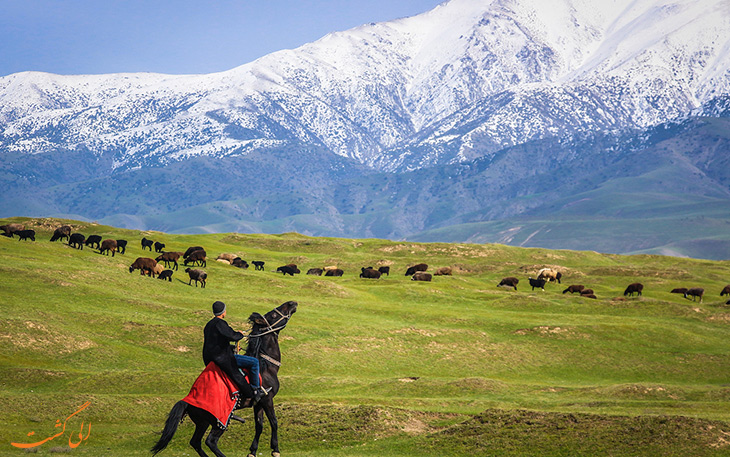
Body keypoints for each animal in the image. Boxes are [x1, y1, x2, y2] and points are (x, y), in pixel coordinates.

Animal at [151, 300, 296, 456]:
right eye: (274, 314)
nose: (292, 303)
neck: (266, 365)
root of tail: (187, 401)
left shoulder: (258, 403)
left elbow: (259, 425)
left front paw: (252, 451)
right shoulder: (267, 399)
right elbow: (274, 422)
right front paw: (275, 449)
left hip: (202, 423)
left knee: (196, 442)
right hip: (219, 421)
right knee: (210, 441)